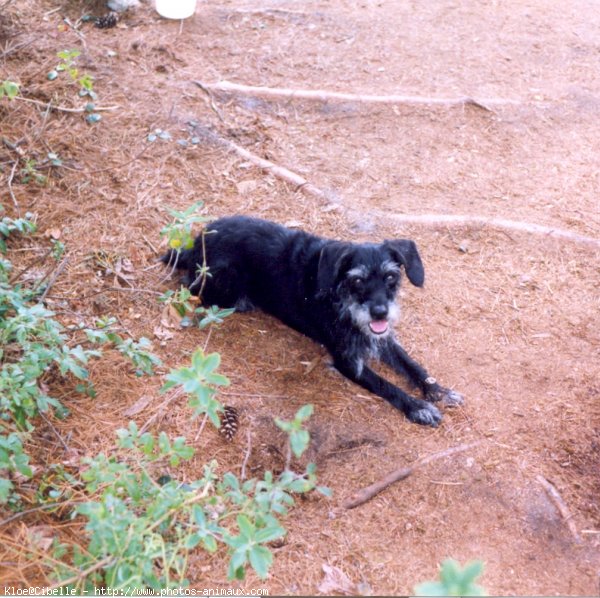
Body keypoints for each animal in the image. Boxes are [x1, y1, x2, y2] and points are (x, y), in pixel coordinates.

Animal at [164, 216, 464, 426]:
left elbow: (413, 366)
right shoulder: (348, 361)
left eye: (391, 276)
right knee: (189, 286)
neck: (341, 298)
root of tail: (195, 243)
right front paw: (418, 407)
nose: (380, 312)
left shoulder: (382, 338)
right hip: (223, 279)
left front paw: (437, 391)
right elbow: (386, 385)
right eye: (357, 280)